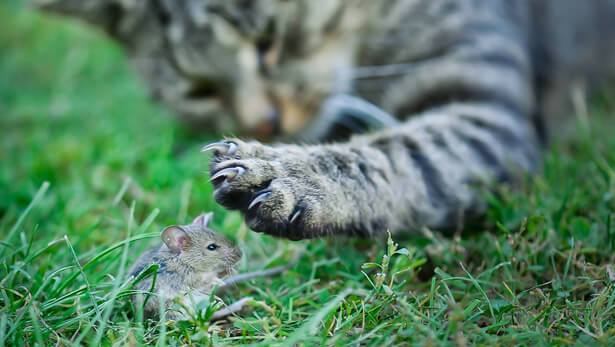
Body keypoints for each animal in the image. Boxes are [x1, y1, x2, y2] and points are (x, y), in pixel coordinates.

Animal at [35, 0, 615, 239]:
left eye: (268, 41)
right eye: (201, 90)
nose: (265, 124)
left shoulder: (485, 111)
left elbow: (396, 152)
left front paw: (290, 172)